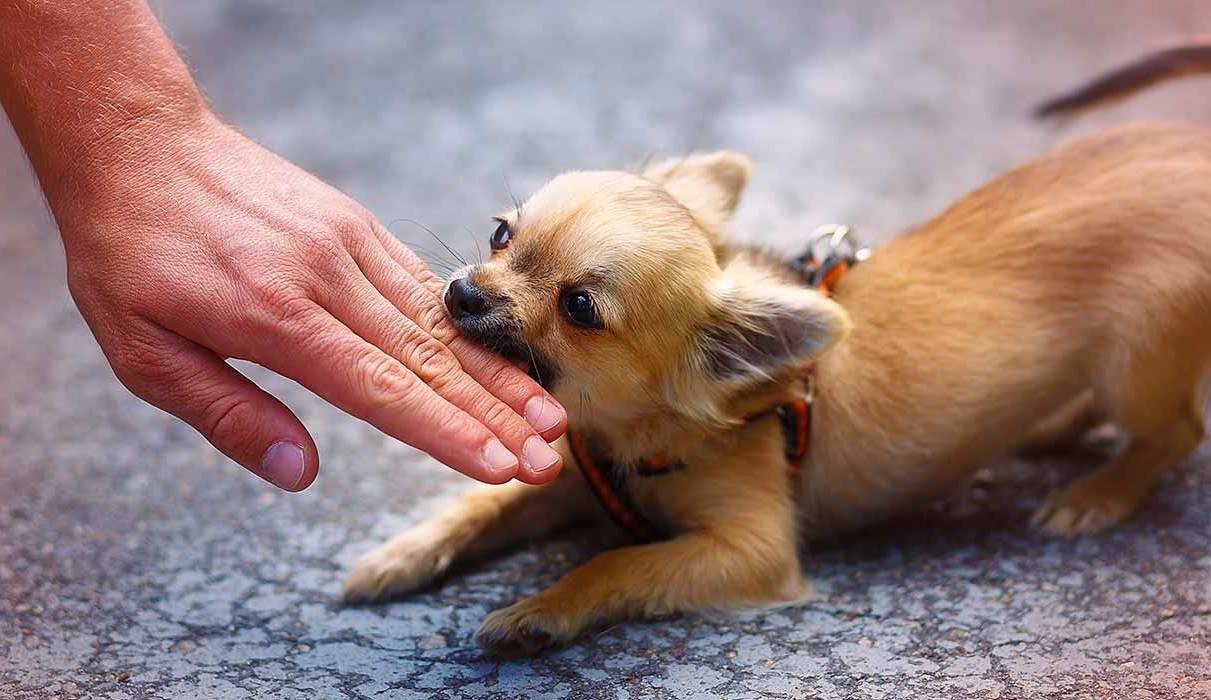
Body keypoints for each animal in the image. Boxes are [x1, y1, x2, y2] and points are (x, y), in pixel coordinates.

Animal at [341, 50, 1211, 653]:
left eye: (579, 308)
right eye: (500, 234)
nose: (462, 294)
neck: (632, 434)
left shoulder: (746, 551)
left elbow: (616, 565)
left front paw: (538, 610)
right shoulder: (576, 481)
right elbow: (483, 504)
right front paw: (398, 555)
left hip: (1134, 360)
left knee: (1174, 428)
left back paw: (1098, 491)